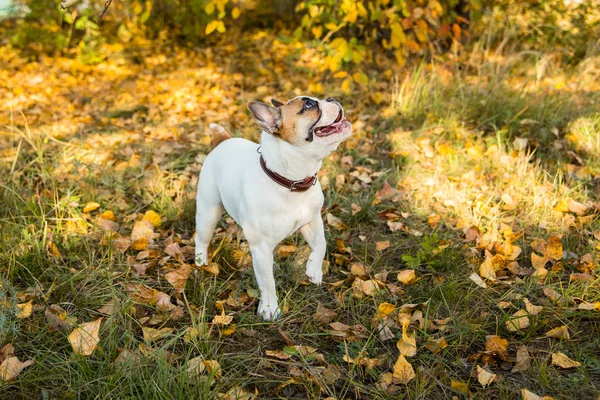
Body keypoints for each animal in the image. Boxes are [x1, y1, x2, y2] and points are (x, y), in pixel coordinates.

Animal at [195, 95, 352, 320]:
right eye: (309, 105)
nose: (331, 98)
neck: (290, 181)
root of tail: (223, 140)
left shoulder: (312, 220)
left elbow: (321, 244)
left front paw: (314, 270)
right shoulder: (261, 248)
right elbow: (267, 282)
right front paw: (269, 307)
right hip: (208, 213)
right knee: (201, 239)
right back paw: (201, 264)